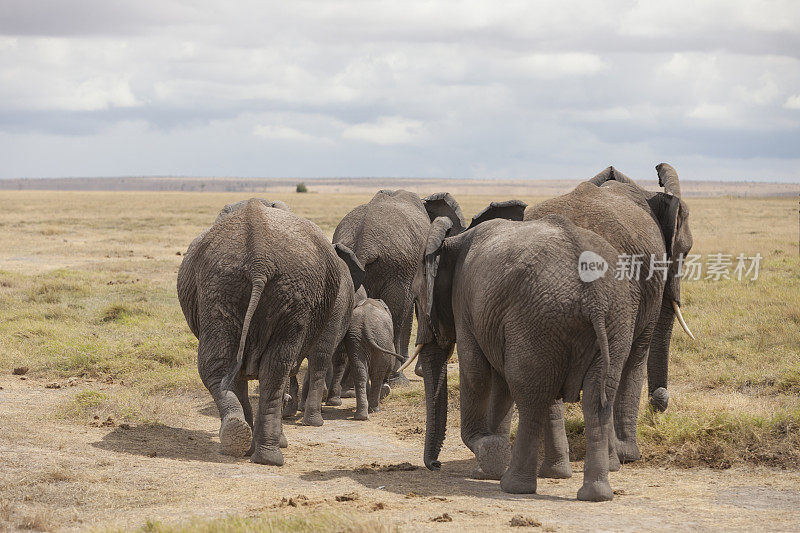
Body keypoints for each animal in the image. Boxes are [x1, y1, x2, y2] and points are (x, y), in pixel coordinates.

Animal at [178, 197, 362, 464]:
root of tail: (259, 261)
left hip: (233, 288)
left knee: (230, 367)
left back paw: (245, 443)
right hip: (256, 290)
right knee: (272, 367)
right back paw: (262, 450)